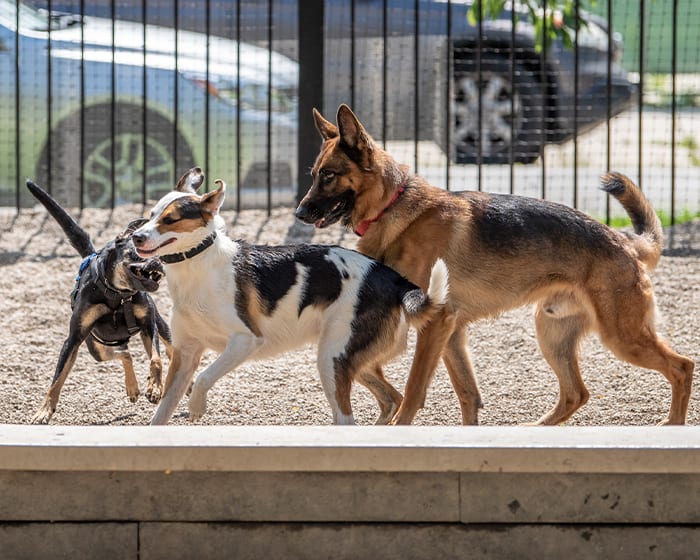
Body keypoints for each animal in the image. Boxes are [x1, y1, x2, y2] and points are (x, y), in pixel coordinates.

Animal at [28, 180, 174, 424]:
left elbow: (156, 359)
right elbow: (57, 378)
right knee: (125, 353)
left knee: (169, 351)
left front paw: (154, 388)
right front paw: (43, 411)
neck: (118, 295)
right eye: (138, 250)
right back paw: (132, 387)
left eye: (159, 252)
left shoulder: (148, 324)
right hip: (96, 348)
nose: (160, 263)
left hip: (160, 327)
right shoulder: (74, 339)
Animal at [130, 166, 448, 424]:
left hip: (332, 359)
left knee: (347, 417)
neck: (199, 267)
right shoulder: (184, 355)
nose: (135, 237)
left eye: (170, 220)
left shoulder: (245, 340)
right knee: (392, 399)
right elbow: (160, 416)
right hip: (352, 361)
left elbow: (204, 377)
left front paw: (197, 406)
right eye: (151, 215)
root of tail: (394, 280)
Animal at [296, 105, 696, 424]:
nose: (299, 213)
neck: (393, 205)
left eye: (328, 175)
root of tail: (625, 242)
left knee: (682, 367)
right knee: (575, 393)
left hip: (621, 337)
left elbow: (413, 390)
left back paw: (673, 425)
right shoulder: (450, 331)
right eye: (314, 174)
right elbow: (467, 394)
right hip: (553, 334)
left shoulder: (435, 323)